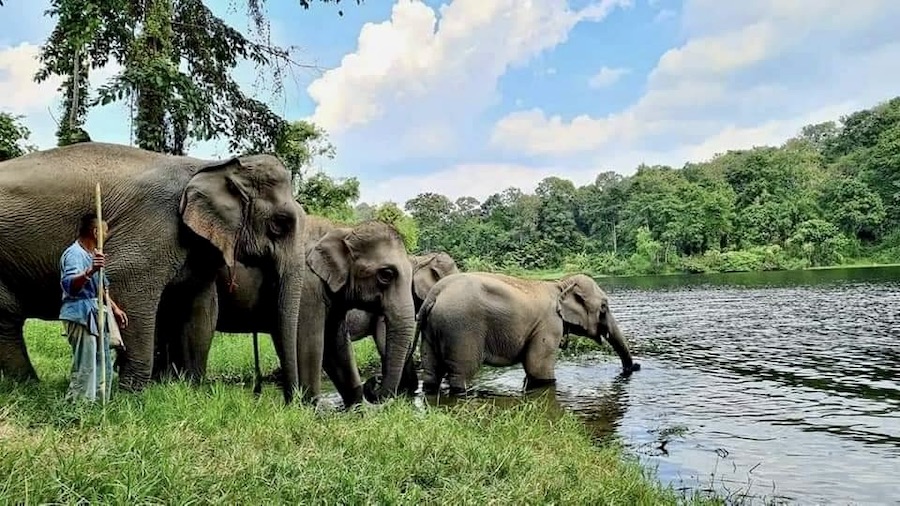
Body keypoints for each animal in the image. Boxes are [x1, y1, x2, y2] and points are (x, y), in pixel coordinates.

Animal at [0, 142, 304, 404]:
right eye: (279, 224)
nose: (291, 402)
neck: (209, 166)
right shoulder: (154, 224)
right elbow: (128, 288)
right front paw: (132, 398)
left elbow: (200, 310)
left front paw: (190, 392)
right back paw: (31, 387)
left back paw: (27, 386)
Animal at [158, 213, 418, 408]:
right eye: (386, 275)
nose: (374, 383)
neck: (342, 229)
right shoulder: (307, 289)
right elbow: (311, 343)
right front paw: (311, 408)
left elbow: (337, 345)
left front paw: (356, 408)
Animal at [414, 272, 640, 396]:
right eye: (604, 307)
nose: (635, 367)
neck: (560, 285)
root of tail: (435, 294)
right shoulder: (549, 325)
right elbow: (538, 368)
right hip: (461, 329)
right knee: (462, 372)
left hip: (432, 328)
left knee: (431, 370)